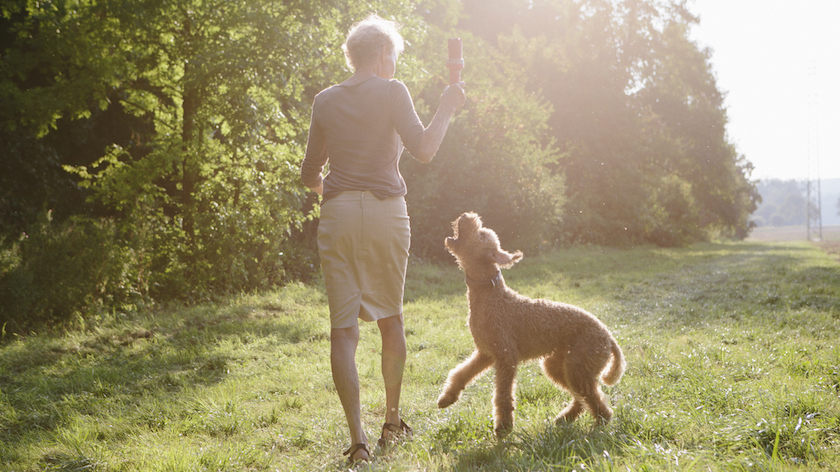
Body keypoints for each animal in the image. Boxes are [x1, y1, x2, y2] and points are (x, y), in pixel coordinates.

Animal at [440, 212, 624, 434]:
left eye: (482, 234)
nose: (467, 215)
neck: (491, 295)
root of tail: (609, 337)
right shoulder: (486, 353)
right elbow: (461, 373)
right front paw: (447, 398)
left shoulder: (506, 357)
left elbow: (502, 395)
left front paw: (503, 428)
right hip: (559, 366)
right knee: (581, 398)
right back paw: (565, 418)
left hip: (578, 367)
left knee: (595, 399)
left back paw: (598, 426)